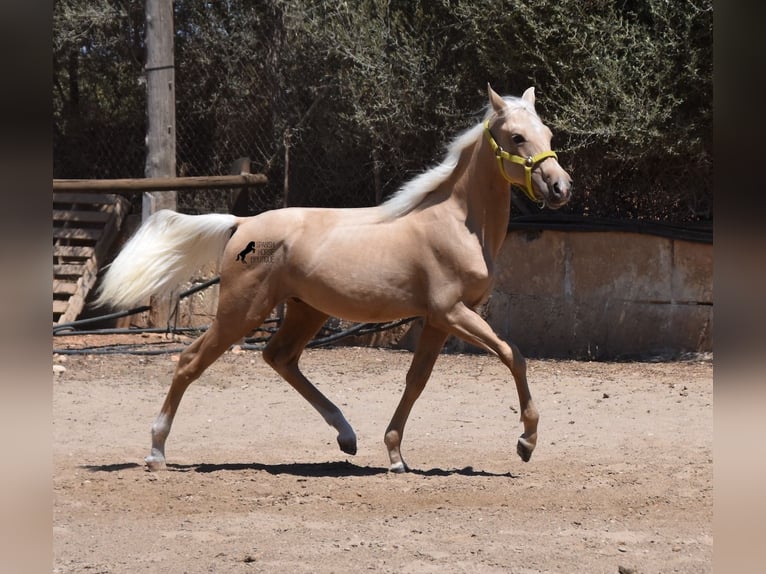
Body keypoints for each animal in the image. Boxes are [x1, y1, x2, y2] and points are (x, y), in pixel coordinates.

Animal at [96, 85, 572, 472]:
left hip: (305, 311)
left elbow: (416, 381)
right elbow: (514, 355)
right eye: (517, 137)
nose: (560, 187)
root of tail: (242, 223)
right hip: (241, 311)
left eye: (548, 135)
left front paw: (395, 453)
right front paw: (526, 442)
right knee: (190, 361)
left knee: (280, 358)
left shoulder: (440, 319)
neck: (458, 223)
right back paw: (156, 451)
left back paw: (347, 436)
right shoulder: (452, 312)